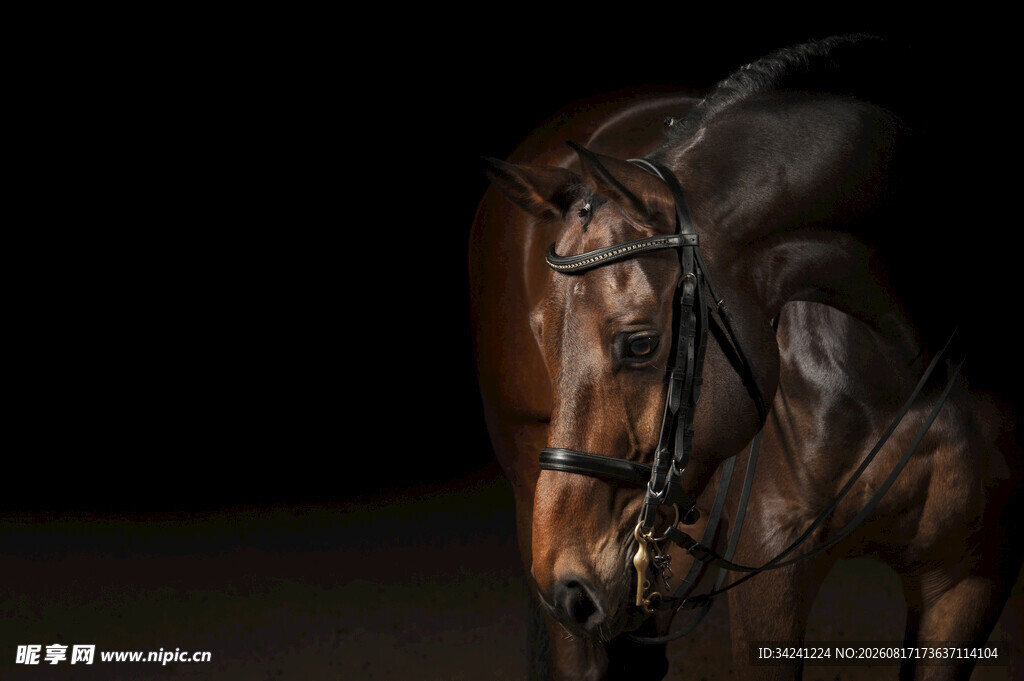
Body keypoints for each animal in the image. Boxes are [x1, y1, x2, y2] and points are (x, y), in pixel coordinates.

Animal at [468, 35, 1022, 680]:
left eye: (640, 342)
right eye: (544, 335)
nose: (568, 583)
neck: (902, 362)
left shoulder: (970, 580)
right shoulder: (769, 573)